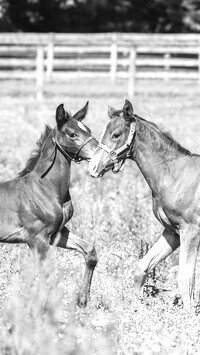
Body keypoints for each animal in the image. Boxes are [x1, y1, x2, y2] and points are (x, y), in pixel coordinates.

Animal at [0, 101, 98, 308]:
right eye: (72, 134)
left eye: (88, 130)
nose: (100, 154)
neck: (45, 188)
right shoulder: (36, 238)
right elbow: (47, 275)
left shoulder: (56, 234)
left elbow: (89, 251)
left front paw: (82, 300)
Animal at [89, 98, 200, 310]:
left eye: (116, 134)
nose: (93, 167)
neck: (174, 175)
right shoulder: (172, 232)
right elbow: (142, 267)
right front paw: (136, 308)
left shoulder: (191, 232)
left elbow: (185, 280)